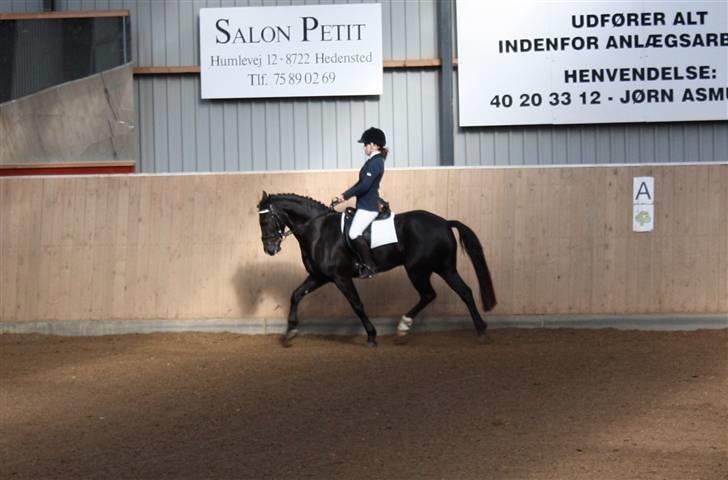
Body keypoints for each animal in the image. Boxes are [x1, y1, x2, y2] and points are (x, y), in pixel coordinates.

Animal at [256, 193, 494, 346]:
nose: (270, 249)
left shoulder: (340, 277)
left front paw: (371, 336)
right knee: (463, 292)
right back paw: (481, 330)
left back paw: (404, 326)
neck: (318, 230)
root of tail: (444, 222)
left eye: (266, 219)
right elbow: (296, 295)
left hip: (417, 269)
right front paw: (290, 331)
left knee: (430, 294)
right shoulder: (319, 276)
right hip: (443, 268)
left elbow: (357, 305)